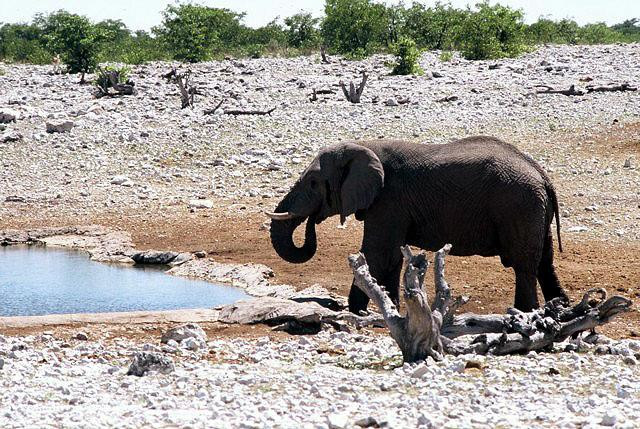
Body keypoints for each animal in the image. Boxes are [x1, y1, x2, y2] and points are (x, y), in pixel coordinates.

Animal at [268, 135, 568, 312]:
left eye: (313, 182)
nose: (312, 221)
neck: (364, 146)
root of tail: (543, 176)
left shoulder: (389, 199)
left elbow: (377, 253)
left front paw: (355, 311)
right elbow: (391, 257)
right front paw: (390, 309)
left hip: (519, 206)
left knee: (524, 264)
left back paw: (525, 312)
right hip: (532, 210)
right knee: (544, 260)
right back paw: (559, 306)